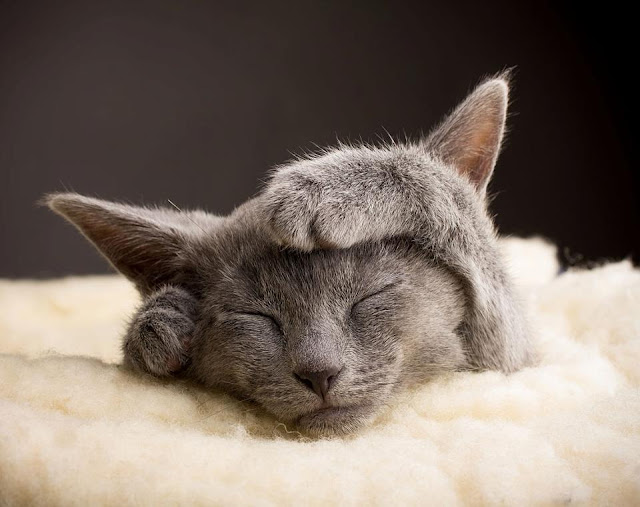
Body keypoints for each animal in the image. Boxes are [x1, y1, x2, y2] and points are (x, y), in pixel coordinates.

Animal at [47, 74, 532, 436]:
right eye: (256, 316)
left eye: (370, 296)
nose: (319, 372)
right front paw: (160, 322)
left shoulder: (507, 361)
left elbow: (449, 198)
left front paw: (322, 191)